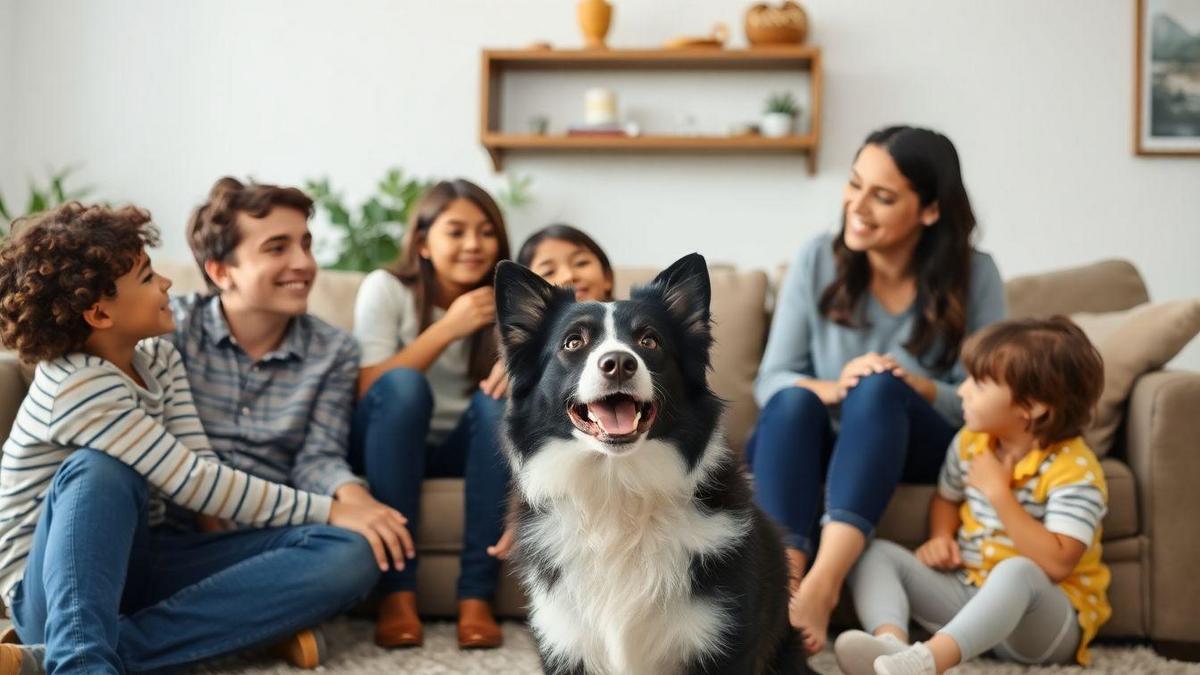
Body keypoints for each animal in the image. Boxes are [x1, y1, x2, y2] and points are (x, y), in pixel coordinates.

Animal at [492, 253, 811, 672]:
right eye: (573, 342)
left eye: (648, 340)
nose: (618, 363)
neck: (618, 488)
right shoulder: (566, 641)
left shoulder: (724, 640)